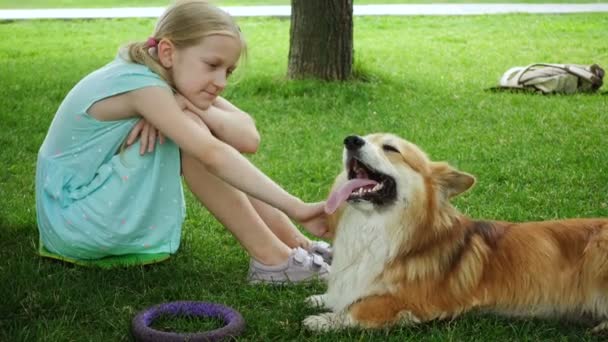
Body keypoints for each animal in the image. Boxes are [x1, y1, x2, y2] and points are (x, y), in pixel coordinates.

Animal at [304, 134, 608, 334]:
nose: (351, 140)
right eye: (364, 137)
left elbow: (359, 308)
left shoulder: (415, 300)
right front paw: (323, 299)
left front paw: (323, 320)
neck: (375, 227)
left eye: (390, 148)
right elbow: (343, 293)